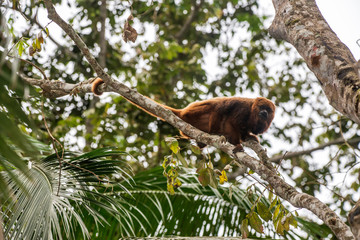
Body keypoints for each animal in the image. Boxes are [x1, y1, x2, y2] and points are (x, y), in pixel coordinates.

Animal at [90, 78, 276, 151]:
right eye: (261, 107)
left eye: (269, 110)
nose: (264, 112)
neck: (252, 114)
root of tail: (183, 111)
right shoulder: (243, 107)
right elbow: (228, 116)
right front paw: (237, 144)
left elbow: (245, 132)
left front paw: (250, 137)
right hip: (196, 113)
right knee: (217, 107)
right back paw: (216, 133)